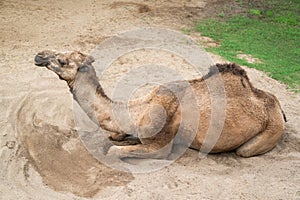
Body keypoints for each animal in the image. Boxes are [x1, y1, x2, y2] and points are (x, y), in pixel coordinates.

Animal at [34, 50, 286, 159]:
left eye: (62, 60)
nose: (39, 55)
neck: (139, 109)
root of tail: (279, 109)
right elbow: (116, 137)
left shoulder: (160, 145)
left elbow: (114, 150)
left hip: (269, 132)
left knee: (244, 150)